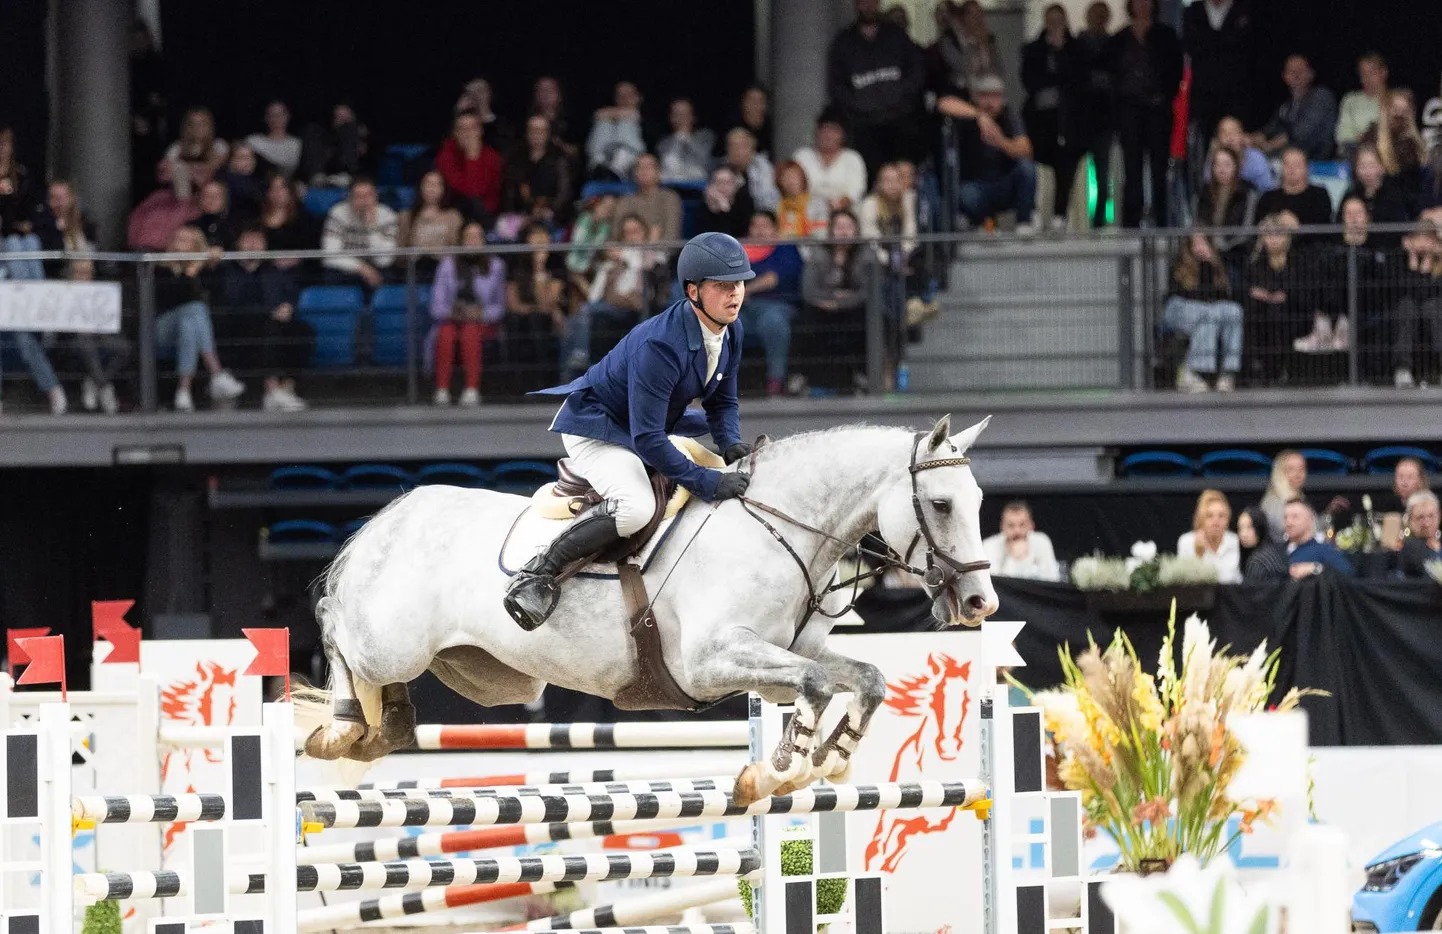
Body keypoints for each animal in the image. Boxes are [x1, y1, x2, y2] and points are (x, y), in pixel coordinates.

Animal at [292, 415, 992, 801]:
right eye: (941, 504)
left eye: (980, 500)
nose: (980, 602)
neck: (775, 527)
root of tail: (391, 515)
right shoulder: (708, 664)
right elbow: (817, 685)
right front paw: (782, 769)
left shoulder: (788, 657)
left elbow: (863, 678)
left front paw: (831, 756)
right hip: (389, 640)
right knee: (334, 624)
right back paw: (341, 728)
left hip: (485, 676)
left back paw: (387, 726)